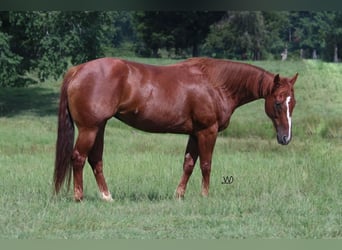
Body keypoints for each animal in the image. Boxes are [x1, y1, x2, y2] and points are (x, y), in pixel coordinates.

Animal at [52, 57, 296, 201]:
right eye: (277, 103)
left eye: (292, 103)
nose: (286, 138)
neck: (215, 83)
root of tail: (78, 70)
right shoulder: (208, 131)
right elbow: (206, 164)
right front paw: (205, 195)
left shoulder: (195, 134)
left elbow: (188, 164)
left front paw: (179, 195)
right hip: (89, 129)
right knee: (78, 157)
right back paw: (79, 197)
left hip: (98, 127)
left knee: (96, 160)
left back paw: (107, 196)